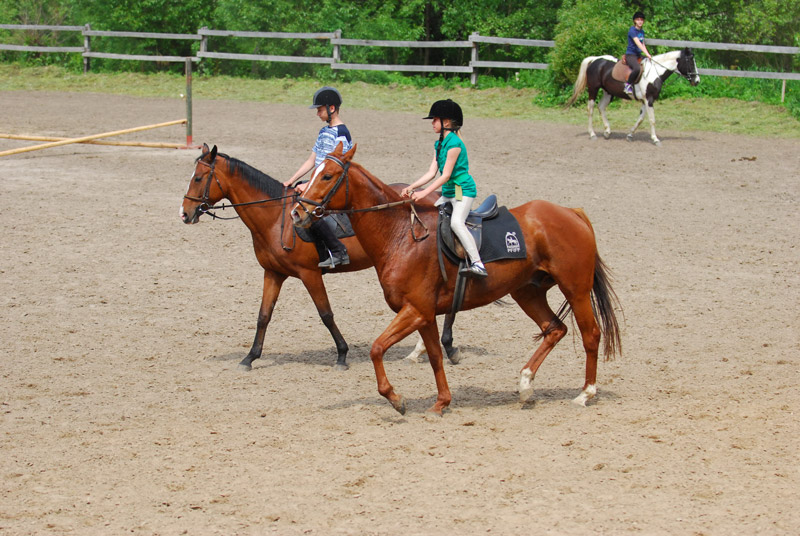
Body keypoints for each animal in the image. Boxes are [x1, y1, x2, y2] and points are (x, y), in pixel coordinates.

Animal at [181, 143, 456, 372]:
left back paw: (438, 347)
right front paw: (250, 357)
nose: (184, 213)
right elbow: (263, 316)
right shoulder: (273, 273)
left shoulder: (309, 273)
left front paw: (342, 355)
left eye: (198, 178)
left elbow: (326, 314)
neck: (276, 220)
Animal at [290, 144, 620, 416]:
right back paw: (526, 386)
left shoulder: (415, 310)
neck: (401, 235)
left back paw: (585, 394)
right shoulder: (425, 315)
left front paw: (396, 398)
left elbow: (377, 348)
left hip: (576, 291)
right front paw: (442, 402)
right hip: (528, 292)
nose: (296, 212)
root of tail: (570, 212)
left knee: (591, 335)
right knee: (554, 329)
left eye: (327, 176)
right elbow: (435, 356)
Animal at [564, 46, 696, 144]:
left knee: (601, 107)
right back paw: (592, 134)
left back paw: (607, 131)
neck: (655, 72)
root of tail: (595, 59)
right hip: (593, 89)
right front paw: (655, 139)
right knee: (590, 109)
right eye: (690, 61)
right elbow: (652, 119)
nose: (697, 80)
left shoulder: (644, 100)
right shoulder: (649, 99)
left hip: (608, 92)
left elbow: (641, 119)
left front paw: (630, 135)